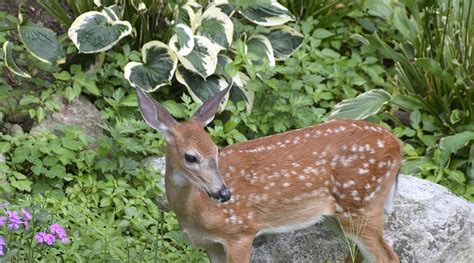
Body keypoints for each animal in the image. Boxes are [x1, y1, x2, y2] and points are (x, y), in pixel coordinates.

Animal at [136, 85, 400, 262]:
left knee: (388, 257)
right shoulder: (211, 244)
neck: (196, 211)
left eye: (215, 150)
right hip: (338, 215)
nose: (224, 193)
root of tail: (397, 147)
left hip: (361, 203)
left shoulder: (240, 232)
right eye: (190, 157)